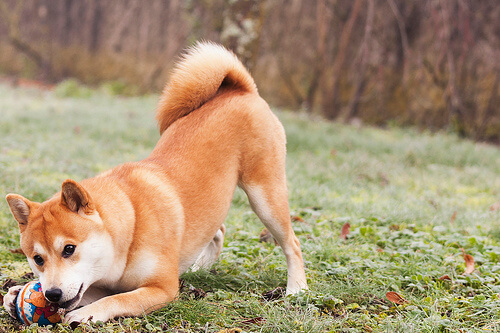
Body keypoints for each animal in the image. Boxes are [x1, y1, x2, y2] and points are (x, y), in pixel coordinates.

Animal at [2, 41, 308, 324]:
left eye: (68, 249)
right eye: (38, 259)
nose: (51, 294)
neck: (131, 226)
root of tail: (239, 90)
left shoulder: (161, 288)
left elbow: (117, 299)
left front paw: (87, 314)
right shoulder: (99, 283)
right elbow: (97, 292)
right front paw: (15, 293)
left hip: (265, 197)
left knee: (291, 243)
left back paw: (297, 289)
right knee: (217, 230)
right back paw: (198, 267)